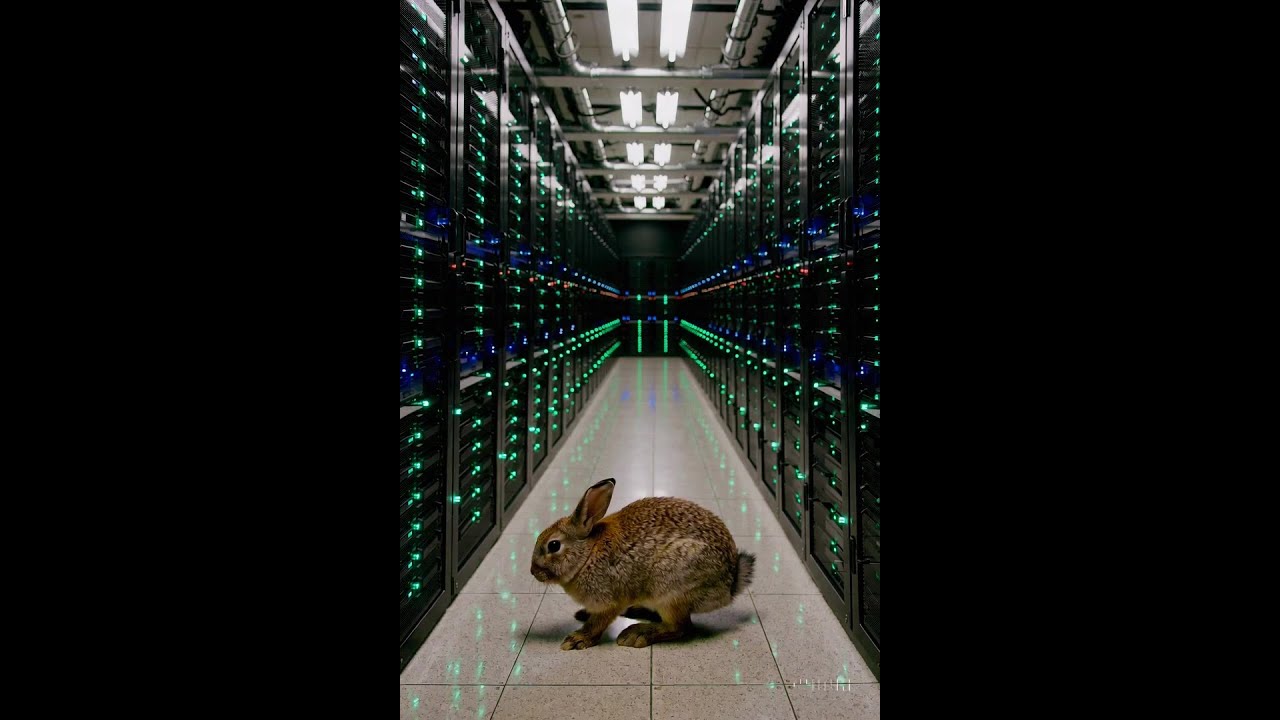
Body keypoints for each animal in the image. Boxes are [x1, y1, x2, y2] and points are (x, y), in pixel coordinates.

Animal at [529, 477, 756, 650]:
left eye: (554, 545)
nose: (533, 572)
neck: (587, 555)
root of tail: (731, 582)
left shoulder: (609, 600)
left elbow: (598, 623)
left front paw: (577, 639)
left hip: (669, 588)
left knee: (679, 627)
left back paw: (636, 635)